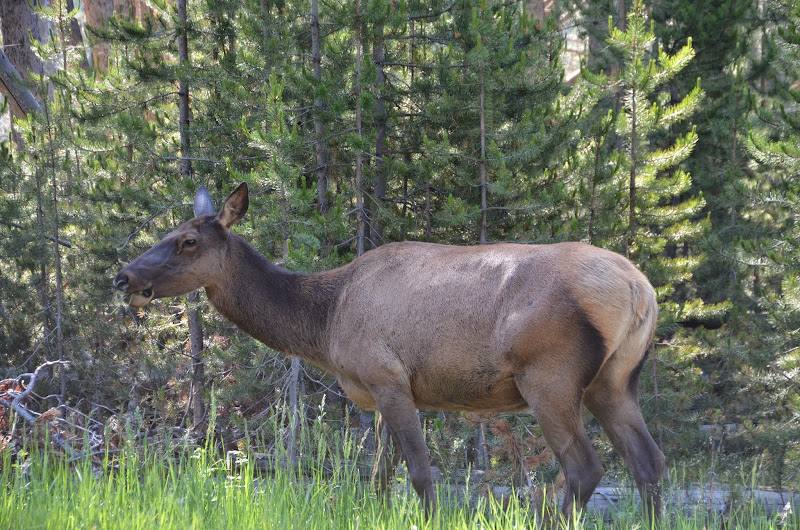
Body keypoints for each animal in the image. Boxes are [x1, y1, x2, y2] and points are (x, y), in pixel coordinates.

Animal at [112, 182, 664, 516]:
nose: (124, 277)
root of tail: (639, 289)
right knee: (649, 464)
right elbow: (378, 477)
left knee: (585, 468)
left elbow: (419, 474)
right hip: (615, 380)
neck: (325, 324)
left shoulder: (389, 377)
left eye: (187, 241)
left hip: (550, 375)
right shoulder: (379, 392)